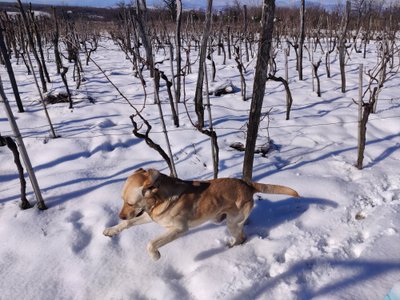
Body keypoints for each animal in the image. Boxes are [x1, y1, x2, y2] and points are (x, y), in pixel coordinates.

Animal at [104, 169, 300, 260]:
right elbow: (128, 224)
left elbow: (151, 243)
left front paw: (155, 256)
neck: (159, 199)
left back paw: (230, 249)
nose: (121, 215)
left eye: (130, 203)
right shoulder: (149, 216)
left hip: (232, 223)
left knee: (241, 238)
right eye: (122, 200)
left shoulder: (180, 229)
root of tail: (248, 184)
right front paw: (111, 230)